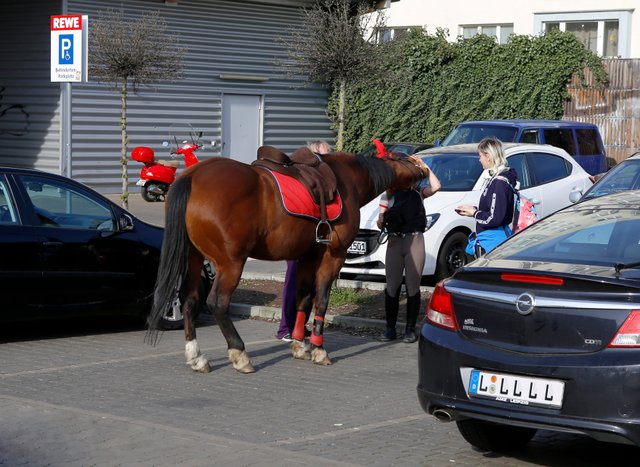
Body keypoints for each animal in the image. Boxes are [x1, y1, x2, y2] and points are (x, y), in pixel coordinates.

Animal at [145, 148, 424, 374]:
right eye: (405, 158)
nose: (423, 169)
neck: (345, 180)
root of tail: (191, 177)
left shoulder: (306, 257)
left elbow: (302, 299)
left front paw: (300, 345)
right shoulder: (333, 256)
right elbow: (321, 301)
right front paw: (319, 349)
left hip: (193, 258)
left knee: (190, 301)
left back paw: (197, 357)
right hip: (231, 264)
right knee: (217, 303)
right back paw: (240, 354)